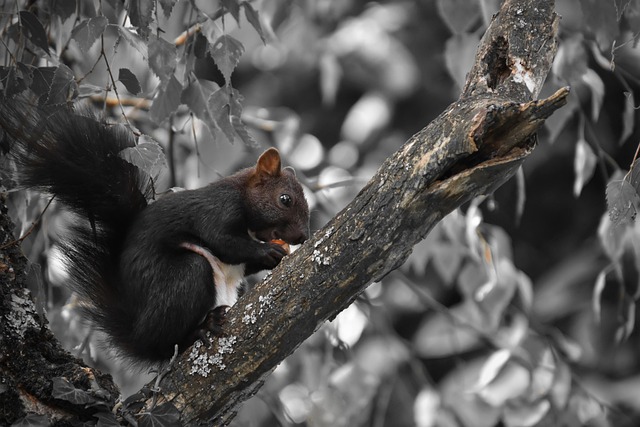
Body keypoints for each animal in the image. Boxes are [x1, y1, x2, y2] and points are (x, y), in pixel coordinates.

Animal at [0, 98, 310, 364]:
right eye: (285, 199)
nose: (303, 236)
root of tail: (137, 332)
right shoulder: (217, 209)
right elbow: (224, 241)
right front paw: (268, 251)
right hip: (183, 280)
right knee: (166, 341)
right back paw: (199, 329)